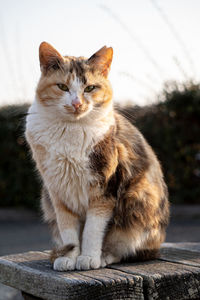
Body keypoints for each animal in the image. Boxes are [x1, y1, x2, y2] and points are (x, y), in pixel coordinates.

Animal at [25, 42, 169, 272]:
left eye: (90, 88)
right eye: (62, 87)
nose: (76, 103)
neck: (70, 131)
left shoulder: (104, 188)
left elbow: (92, 230)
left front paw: (88, 258)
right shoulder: (58, 192)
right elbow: (68, 229)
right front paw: (69, 258)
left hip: (138, 201)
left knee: (128, 249)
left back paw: (104, 257)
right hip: (46, 199)